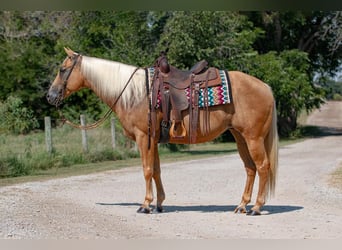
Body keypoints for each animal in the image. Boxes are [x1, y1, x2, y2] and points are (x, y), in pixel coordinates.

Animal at [46, 47, 278, 216]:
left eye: (62, 69)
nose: (50, 95)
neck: (135, 93)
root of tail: (265, 86)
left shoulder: (144, 137)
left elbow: (147, 170)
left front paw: (145, 205)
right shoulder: (154, 139)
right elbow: (156, 170)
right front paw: (159, 203)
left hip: (253, 138)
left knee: (262, 167)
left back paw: (256, 208)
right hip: (240, 137)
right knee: (250, 168)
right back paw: (242, 205)